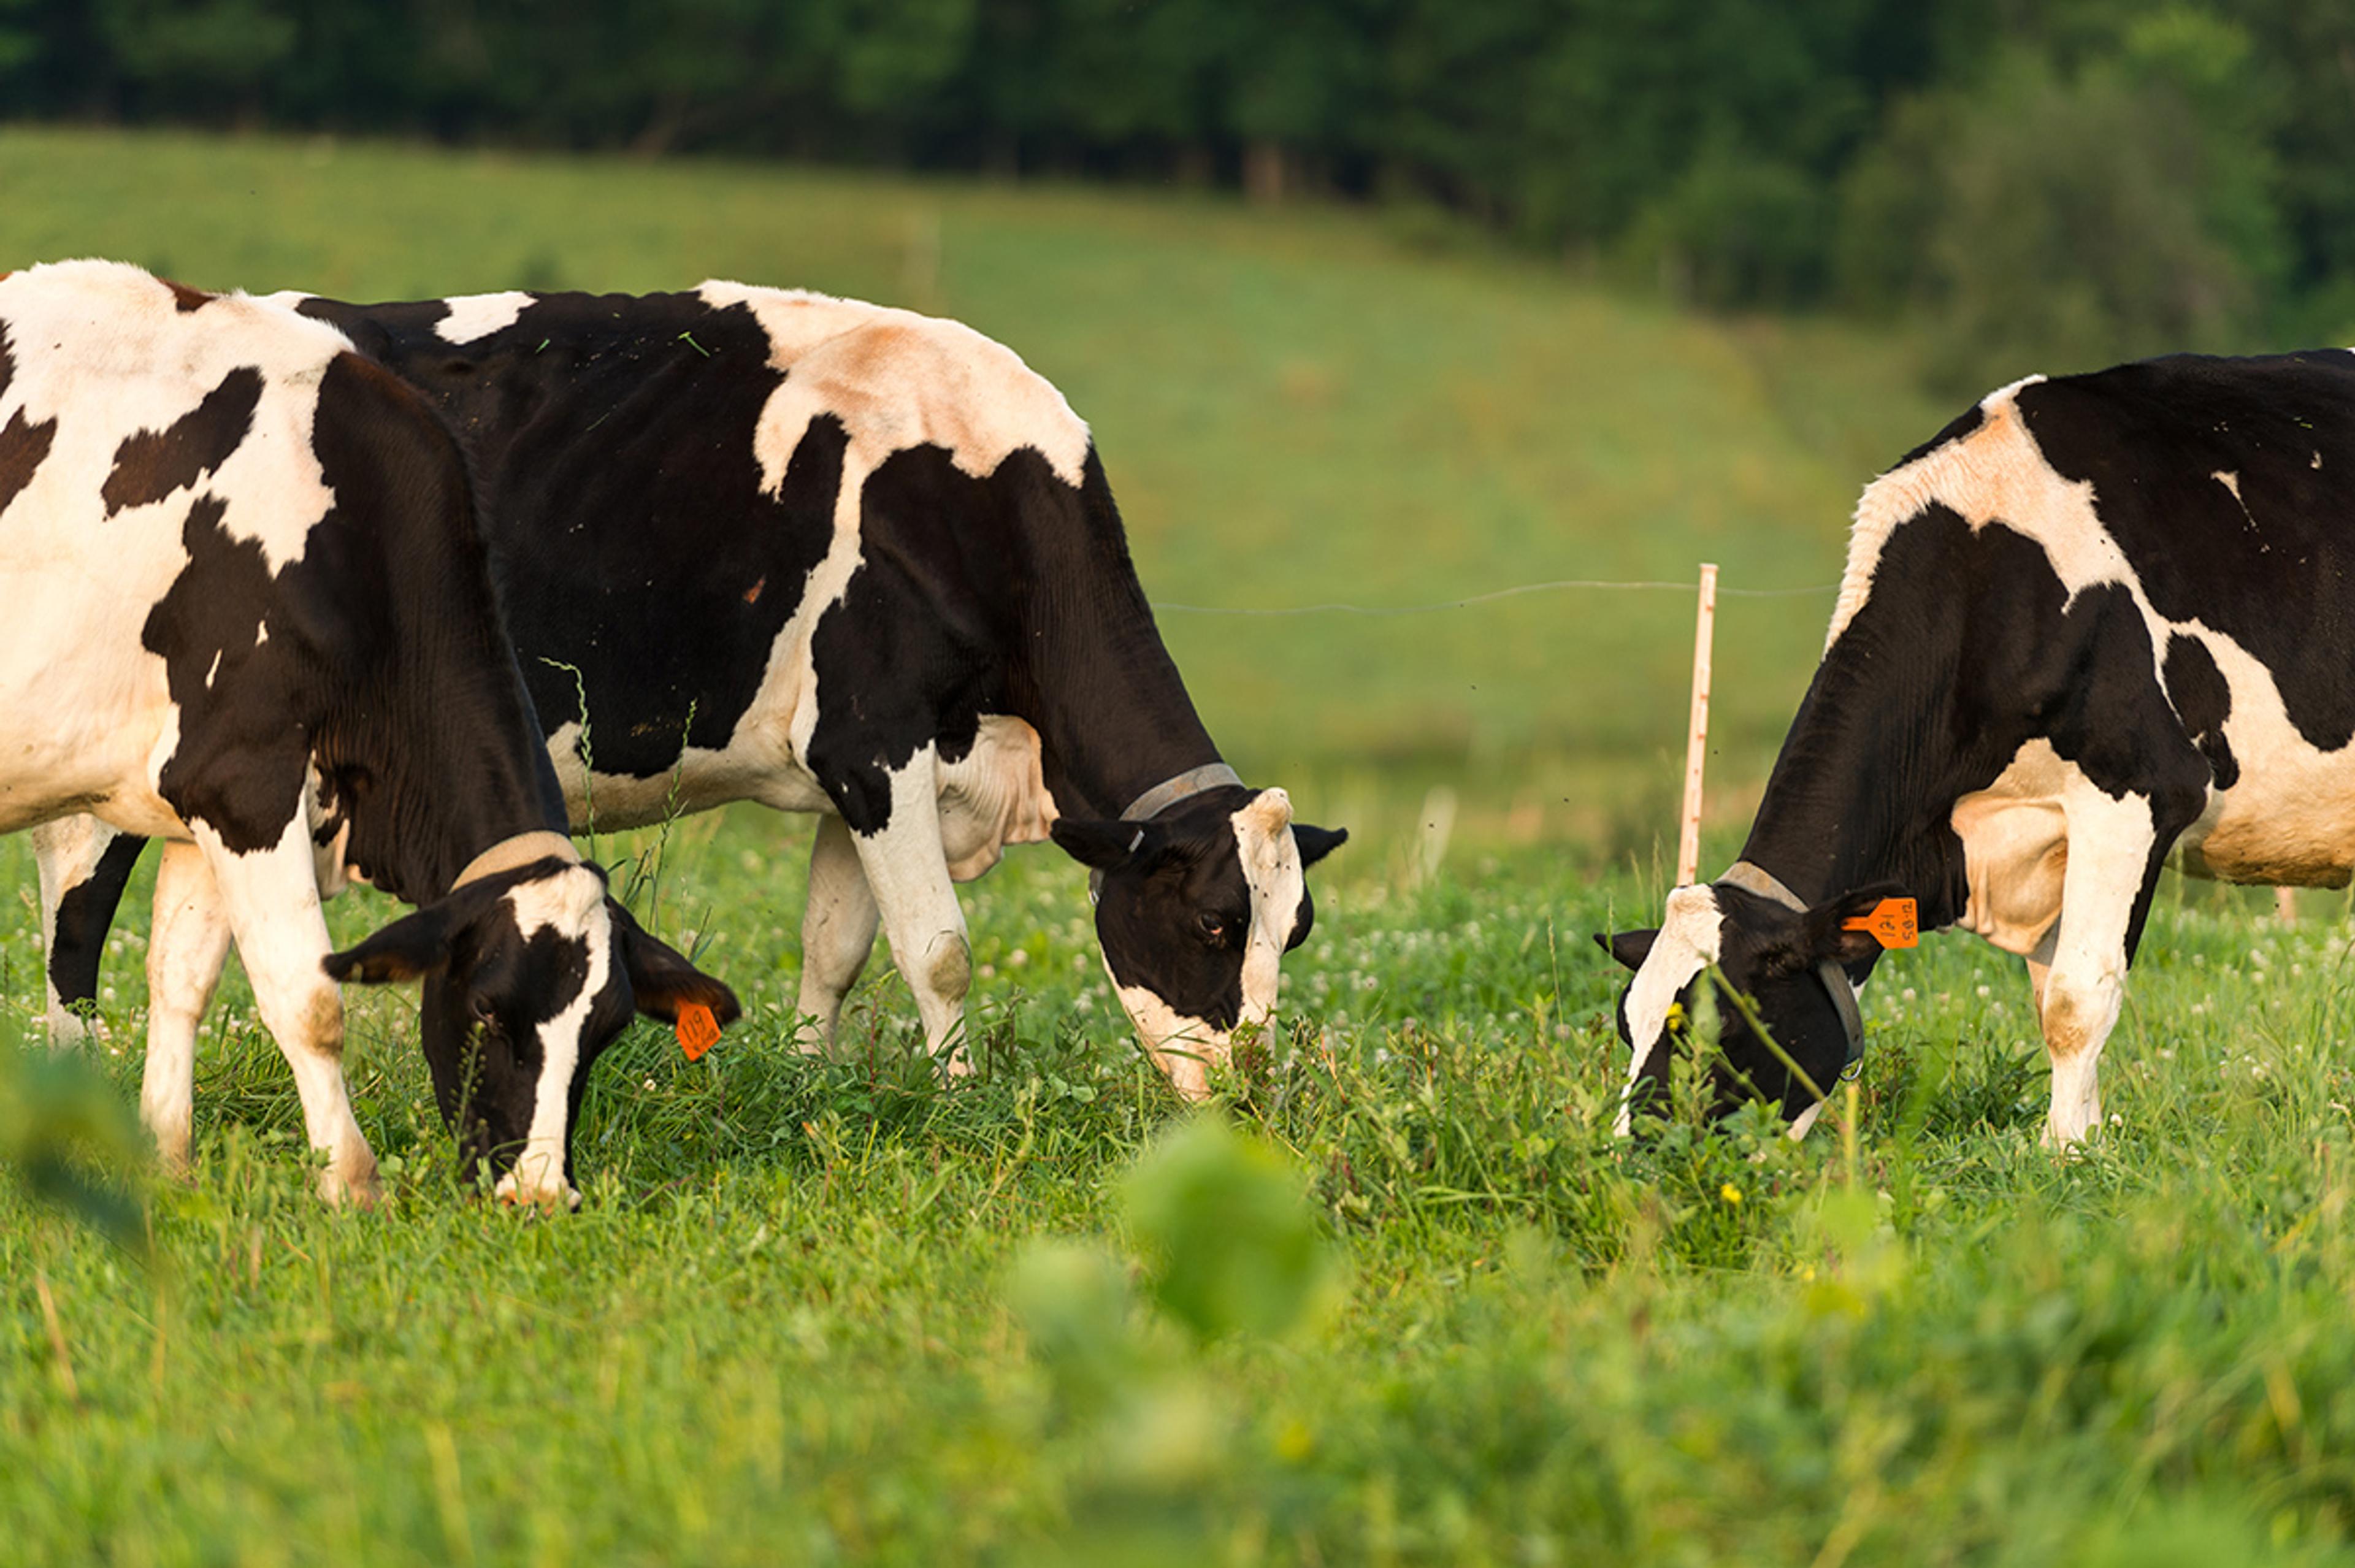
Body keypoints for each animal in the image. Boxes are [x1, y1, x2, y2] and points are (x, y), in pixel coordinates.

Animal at [0, 260, 737, 1207]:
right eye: (489, 1006)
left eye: (604, 1032)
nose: (539, 1196)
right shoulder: (244, 783)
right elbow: (309, 1000)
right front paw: (352, 1187)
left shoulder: (206, 799)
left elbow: (180, 981)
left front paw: (168, 1163)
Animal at [33, 281, 1344, 1100]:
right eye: (1214, 923)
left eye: (1296, 928)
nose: (1252, 1092)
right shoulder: (876, 738)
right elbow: (940, 950)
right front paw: (963, 1097)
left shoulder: (849, 768)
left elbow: (834, 944)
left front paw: (815, 1082)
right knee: (74, 905)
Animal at [1601, 350, 2355, 1146]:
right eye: (1627, 1025)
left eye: (1723, 1028)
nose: (1635, 1156)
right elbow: (2048, 995)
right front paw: (2088, 1140)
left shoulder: (2140, 788)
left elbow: (2077, 999)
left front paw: (2062, 1152)